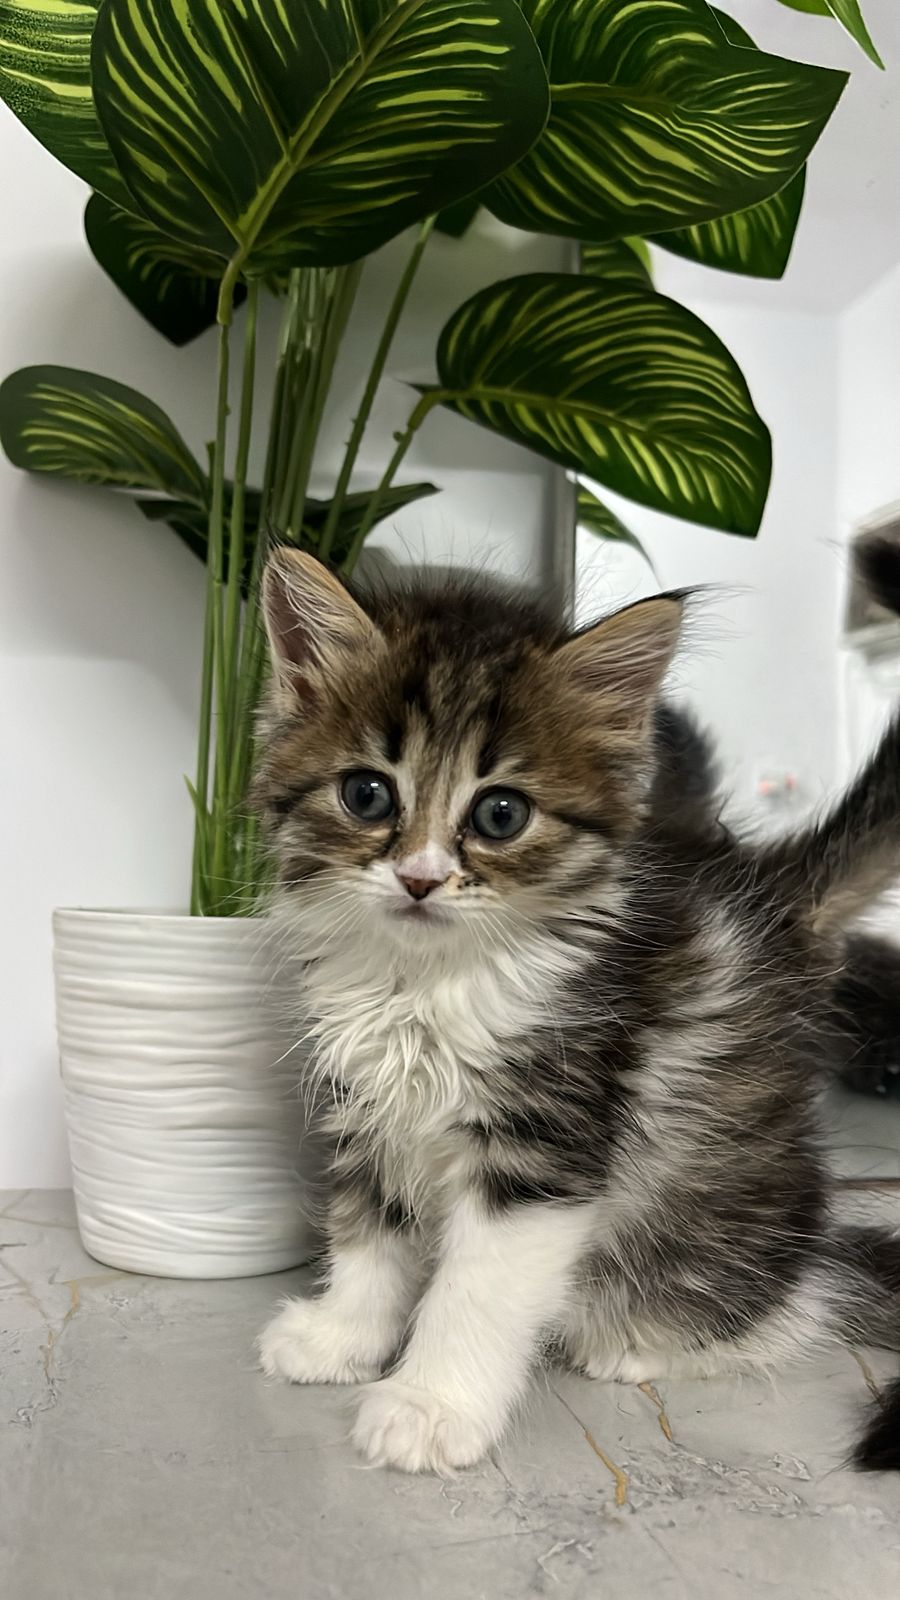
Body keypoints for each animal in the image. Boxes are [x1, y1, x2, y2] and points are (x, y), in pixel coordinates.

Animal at [254, 537, 900, 1475]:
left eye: (500, 814)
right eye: (367, 794)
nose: (418, 879)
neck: (429, 980)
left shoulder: (546, 1138)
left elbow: (476, 1289)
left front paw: (429, 1406)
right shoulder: (369, 1105)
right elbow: (370, 1232)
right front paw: (342, 1338)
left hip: (715, 1190)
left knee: (800, 1297)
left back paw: (643, 1342)